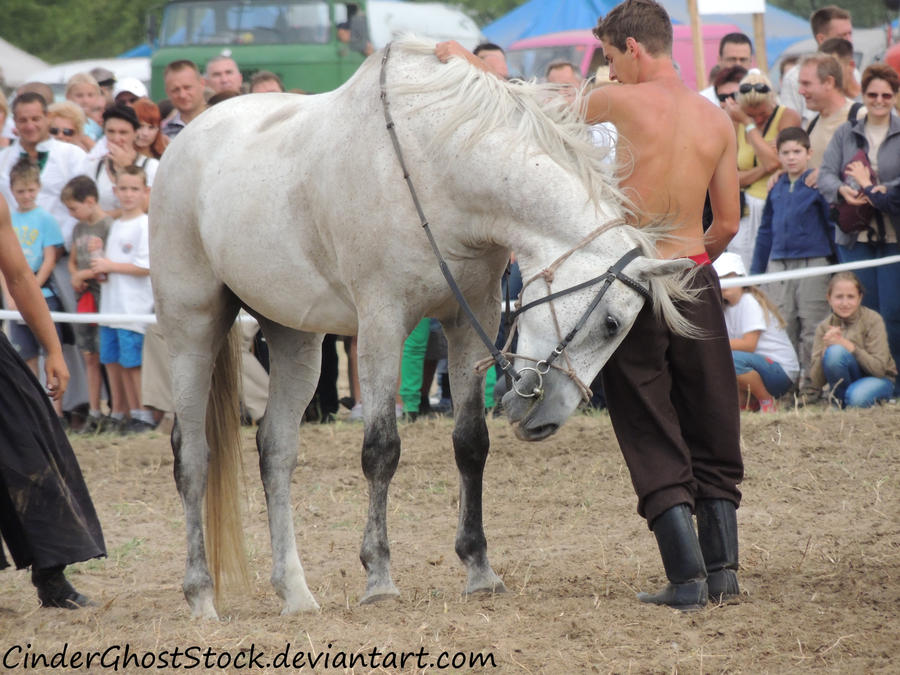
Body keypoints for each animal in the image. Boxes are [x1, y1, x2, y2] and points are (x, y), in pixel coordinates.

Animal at [151, 35, 692, 616]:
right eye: (612, 323)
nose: (546, 417)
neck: (435, 171)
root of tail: (184, 142)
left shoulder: (471, 319)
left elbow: (471, 442)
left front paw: (479, 569)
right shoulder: (383, 325)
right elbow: (381, 450)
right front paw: (379, 575)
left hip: (297, 338)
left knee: (276, 450)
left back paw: (294, 592)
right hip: (192, 331)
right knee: (192, 456)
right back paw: (201, 596)